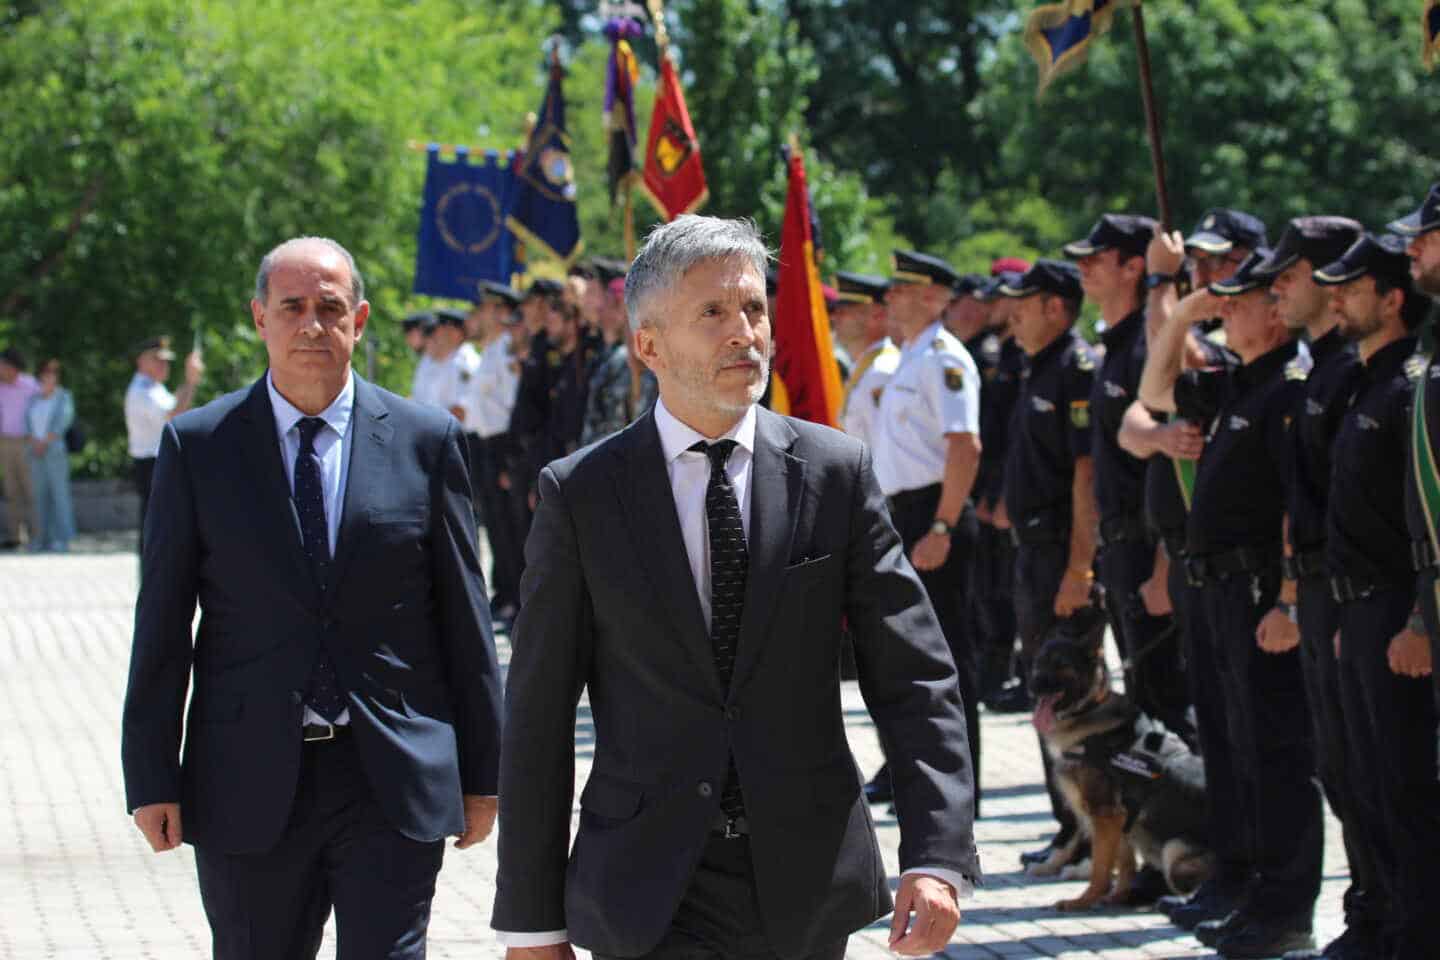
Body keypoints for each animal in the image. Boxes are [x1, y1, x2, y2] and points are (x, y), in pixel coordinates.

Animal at [1031, 630, 1209, 909]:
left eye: (1061, 665)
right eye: (1039, 664)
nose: (1033, 685)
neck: (1088, 711)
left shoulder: (1103, 814)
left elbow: (1101, 866)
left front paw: (1083, 900)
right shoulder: (1119, 817)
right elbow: (1124, 862)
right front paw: (1117, 895)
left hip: (1174, 849)